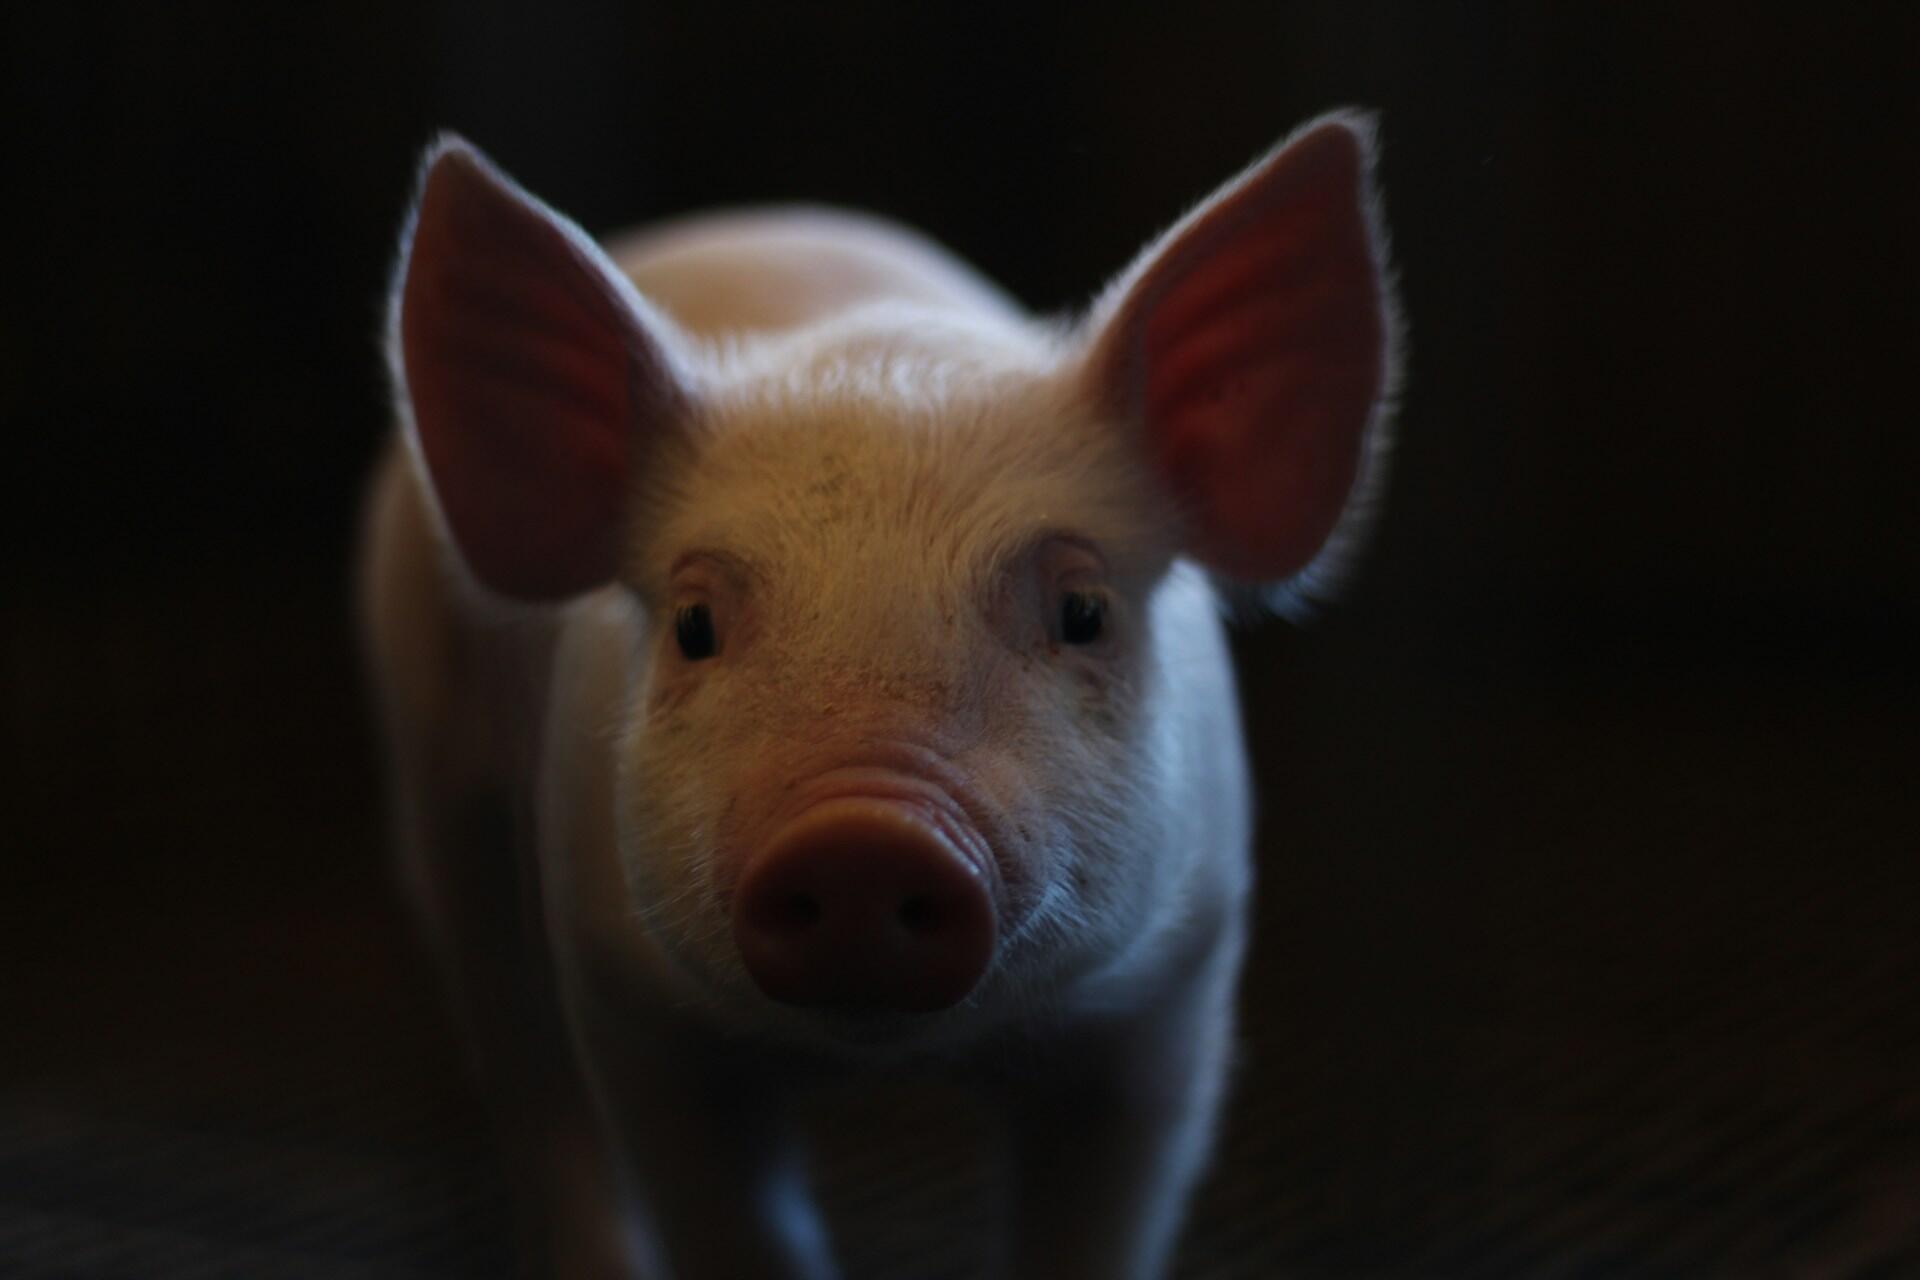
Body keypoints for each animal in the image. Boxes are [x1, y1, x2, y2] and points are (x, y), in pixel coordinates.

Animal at [359, 110, 1398, 1280]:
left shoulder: (1174, 989)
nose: (861, 836)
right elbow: (732, 1218)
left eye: (1083, 610)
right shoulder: (628, 996)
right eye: (693, 625)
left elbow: (1097, 1218)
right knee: (523, 1062)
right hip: (443, 780)